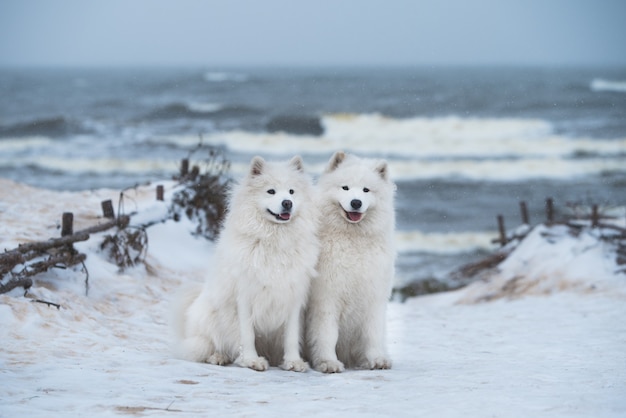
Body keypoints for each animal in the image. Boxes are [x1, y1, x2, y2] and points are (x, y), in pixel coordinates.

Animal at [171, 157, 316, 372]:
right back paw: (218, 357)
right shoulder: (244, 297)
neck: (274, 240)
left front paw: (293, 362)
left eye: (291, 191)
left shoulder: (293, 297)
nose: (287, 203)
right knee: (207, 346)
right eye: (271, 191)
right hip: (211, 320)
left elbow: (291, 336)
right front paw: (251, 360)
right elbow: (247, 335)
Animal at [306, 152, 394, 374]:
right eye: (345, 188)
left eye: (366, 190)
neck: (353, 240)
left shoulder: (373, 297)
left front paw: (376, 359)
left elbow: (373, 333)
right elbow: (327, 334)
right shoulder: (327, 299)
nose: (356, 202)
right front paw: (328, 362)